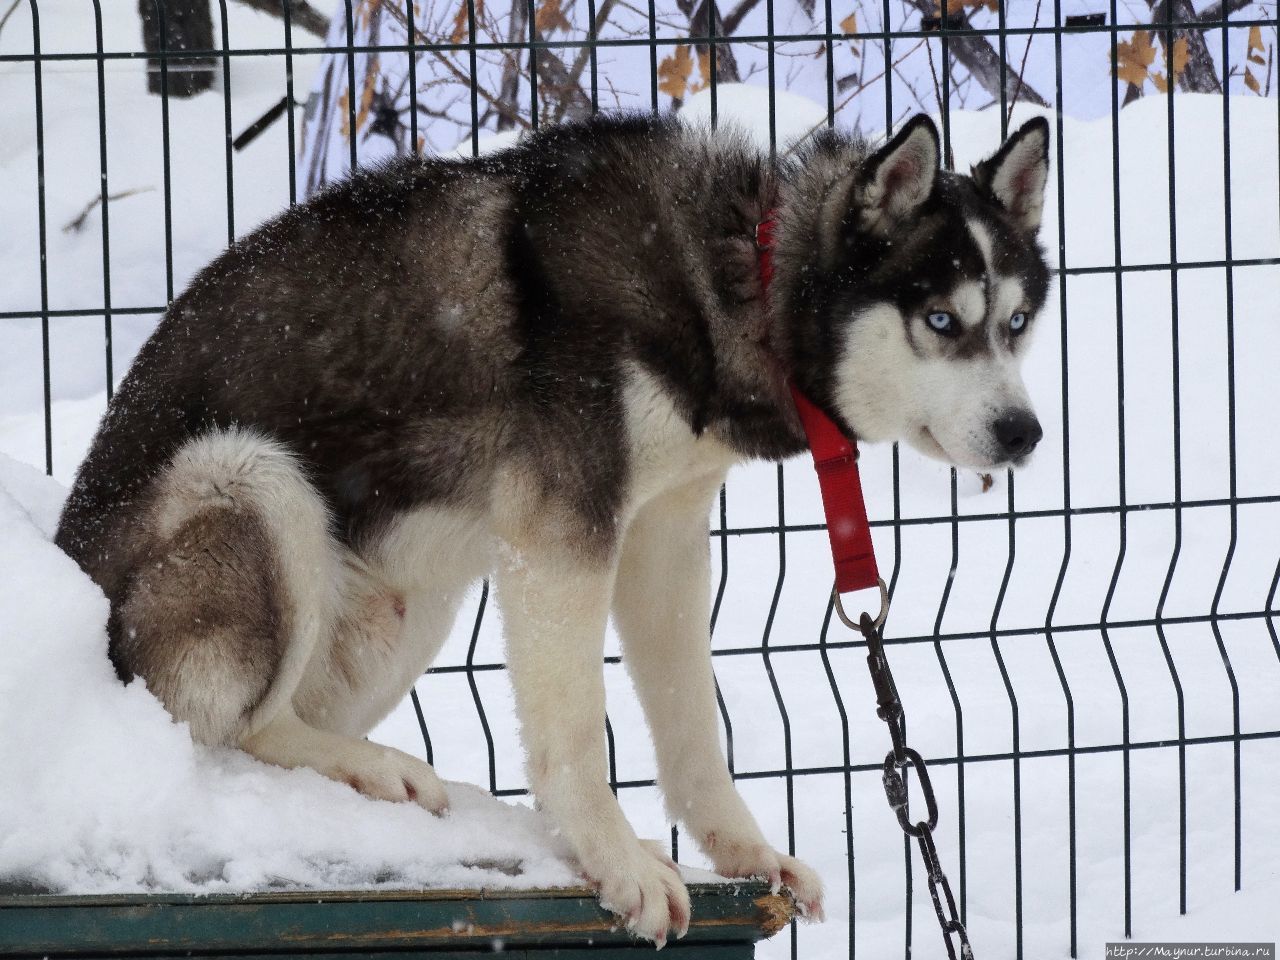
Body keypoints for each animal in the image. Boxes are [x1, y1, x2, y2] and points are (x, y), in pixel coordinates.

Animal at [55, 110, 1044, 942]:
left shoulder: (665, 537)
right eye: (941, 319)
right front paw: (618, 862)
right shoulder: (561, 529)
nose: (1024, 433)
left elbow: (694, 730)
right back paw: (372, 768)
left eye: (1019, 323)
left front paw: (745, 853)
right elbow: (575, 736)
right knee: (222, 728)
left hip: (409, 600)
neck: (740, 277)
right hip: (254, 479)